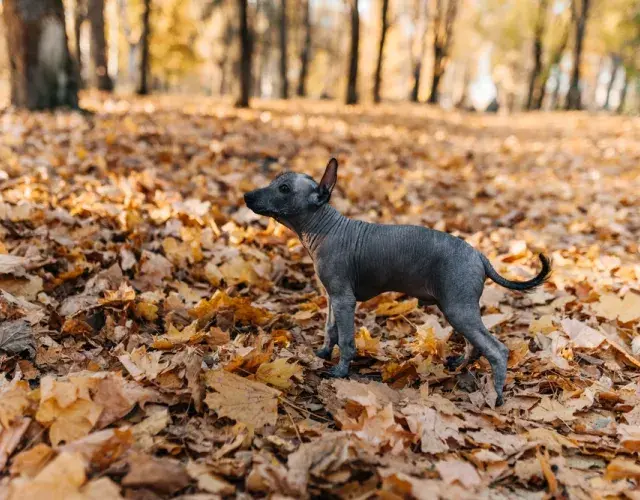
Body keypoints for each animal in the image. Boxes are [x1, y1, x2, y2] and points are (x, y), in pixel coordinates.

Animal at [245, 158, 552, 404]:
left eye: (284, 189)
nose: (247, 195)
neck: (326, 227)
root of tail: (479, 255)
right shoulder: (333, 298)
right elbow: (329, 329)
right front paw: (322, 353)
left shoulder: (344, 300)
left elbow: (346, 339)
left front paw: (341, 371)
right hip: (459, 309)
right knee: (476, 345)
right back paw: (460, 365)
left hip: (457, 308)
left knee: (497, 350)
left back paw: (497, 395)